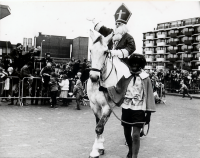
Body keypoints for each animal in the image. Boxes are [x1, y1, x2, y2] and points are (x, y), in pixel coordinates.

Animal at [87, 29, 130, 158]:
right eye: (90, 50)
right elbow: (98, 124)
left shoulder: (108, 106)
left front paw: (95, 151)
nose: (94, 77)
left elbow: (99, 127)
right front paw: (100, 147)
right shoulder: (94, 105)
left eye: (105, 52)